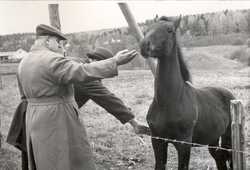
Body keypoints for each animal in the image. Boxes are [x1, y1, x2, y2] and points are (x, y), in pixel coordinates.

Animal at [140, 16, 235, 170]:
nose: (144, 45)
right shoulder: (157, 141)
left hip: (228, 138)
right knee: (220, 159)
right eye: (146, 30)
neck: (169, 102)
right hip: (213, 139)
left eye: (170, 30)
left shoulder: (183, 145)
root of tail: (230, 95)